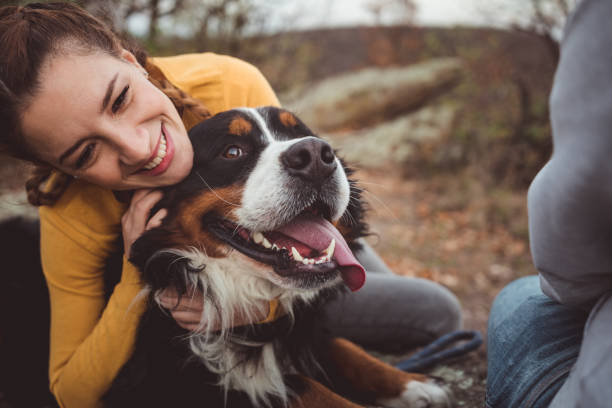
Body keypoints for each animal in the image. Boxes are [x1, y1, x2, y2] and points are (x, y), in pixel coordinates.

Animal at [103, 107, 452, 406]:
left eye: (301, 133)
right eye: (232, 151)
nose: (316, 154)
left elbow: (342, 346)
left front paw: (414, 384)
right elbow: (305, 387)